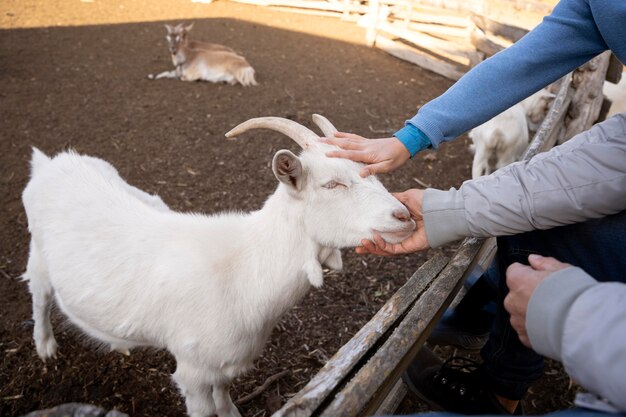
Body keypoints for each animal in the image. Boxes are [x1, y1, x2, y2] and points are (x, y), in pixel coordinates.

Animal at [22, 114, 414, 416]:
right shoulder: (192, 370)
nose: (405, 216)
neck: (243, 270)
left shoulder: (226, 363)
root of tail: (49, 163)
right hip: (38, 254)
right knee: (39, 296)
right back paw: (45, 347)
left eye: (372, 172)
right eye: (331, 184)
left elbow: (223, 393)